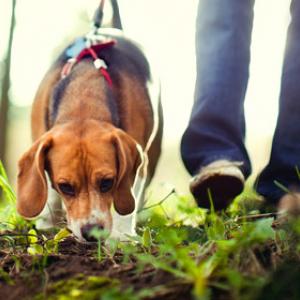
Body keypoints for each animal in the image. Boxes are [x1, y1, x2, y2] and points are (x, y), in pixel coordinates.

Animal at [17, 28, 163, 243]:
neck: (84, 98)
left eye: (107, 182)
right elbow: (48, 188)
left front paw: (122, 235)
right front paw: (47, 222)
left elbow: (128, 198)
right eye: (65, 187)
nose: (91, 232)